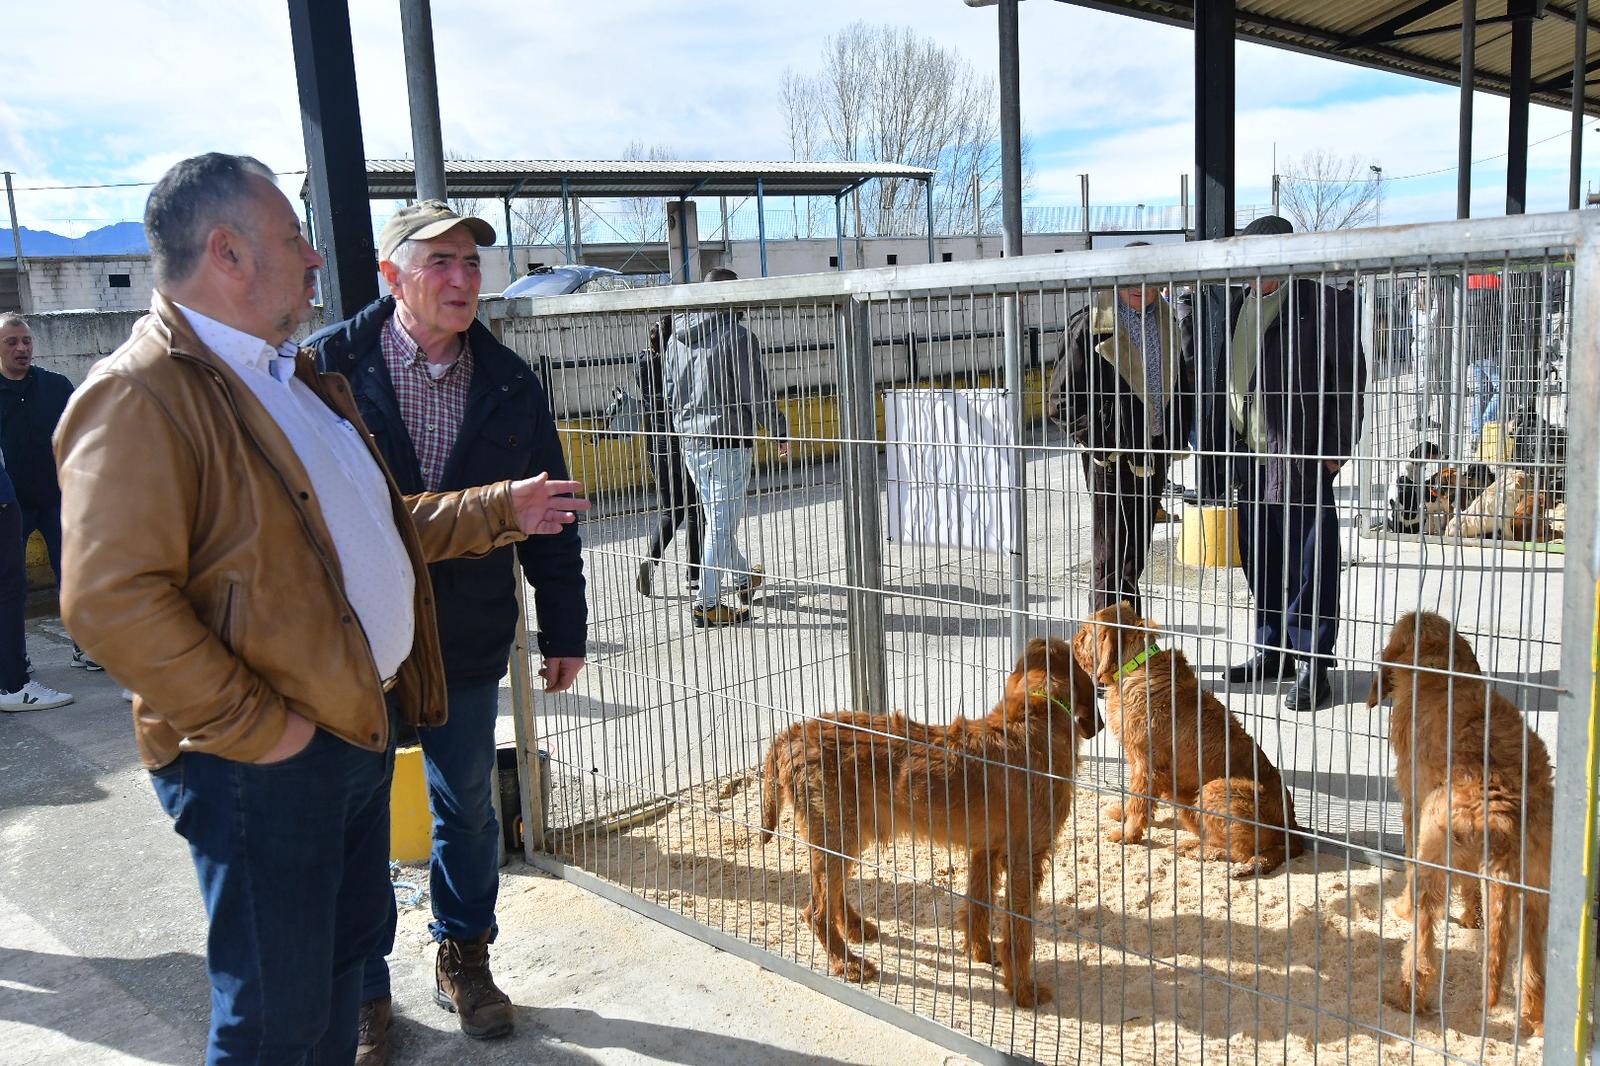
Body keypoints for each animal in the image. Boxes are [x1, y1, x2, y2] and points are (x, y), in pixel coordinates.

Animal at [758, 633, 1100, 998]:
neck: (1033, 714)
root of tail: (793, 733)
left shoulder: (986, 849)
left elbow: (978, 904)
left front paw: (981, 952)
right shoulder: (1026, 857)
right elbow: (1019, 932)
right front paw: (1023, 990)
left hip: (844, 835)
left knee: (831, 894)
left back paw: (856, 929)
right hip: (839, 833)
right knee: (816, 910)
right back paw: (847, 963)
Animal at [1068, 601, 1305, 877]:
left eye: (1086, 631)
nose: (1072, 642)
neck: (1137, 664)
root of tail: (1292, 831)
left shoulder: (1147, 764)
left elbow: (1139, 802)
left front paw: (1128, 835)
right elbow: (1136, 799)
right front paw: (1122, 813)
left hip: (1214, 789)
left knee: (1243, 852)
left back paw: (1202, 852)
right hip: (1186, 802)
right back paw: (1191, 845)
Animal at [1363, 611, 1548, 1030]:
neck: (1439, 666)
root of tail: (1501, 812)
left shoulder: (1412, 803)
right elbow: (1470, 886)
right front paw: (1472, 920)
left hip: (1434, 847)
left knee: (1424, 950)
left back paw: (1407, 998)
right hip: (1537, 883)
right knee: (1533, 962)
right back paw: (1536, 1019)